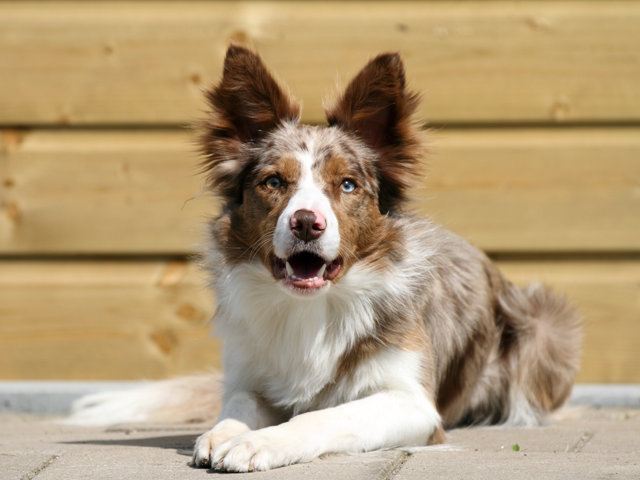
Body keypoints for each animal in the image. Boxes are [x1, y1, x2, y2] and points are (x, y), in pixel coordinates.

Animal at [70, 46, 582, 472]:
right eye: (274, 182)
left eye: (348, 184)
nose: (305, 223)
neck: (310, 309)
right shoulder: (248, 375)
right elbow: (236, 407)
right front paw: (223, 434)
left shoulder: (412, 403)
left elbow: (326, 416)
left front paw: (259, 442)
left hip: (544, 326)